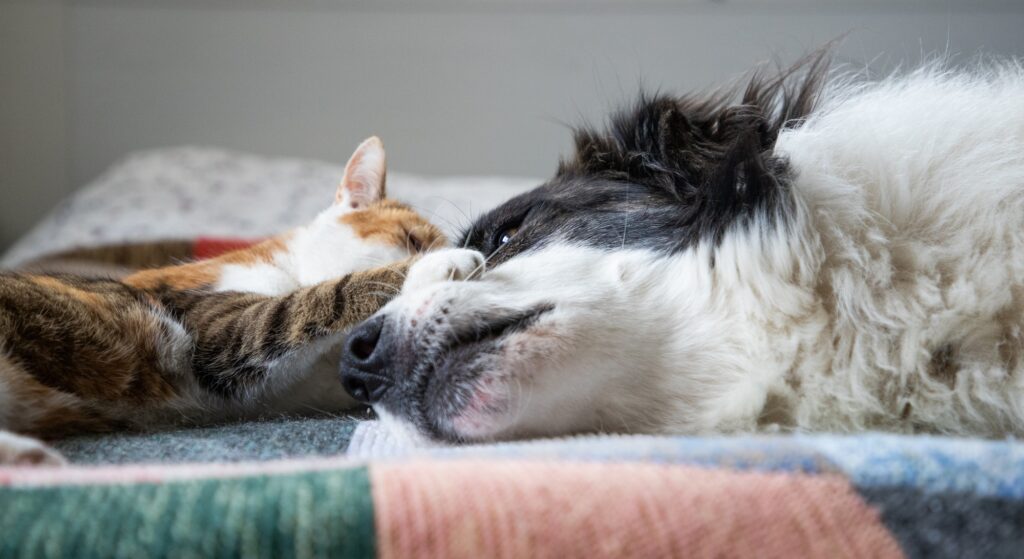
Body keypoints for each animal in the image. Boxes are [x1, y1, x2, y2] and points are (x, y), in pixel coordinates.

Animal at [0, 137, 460, 462]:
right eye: (412, 239)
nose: (431, 251)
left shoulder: (289, 388)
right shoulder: (217, 332)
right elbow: (317, 297)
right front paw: (447, 265)